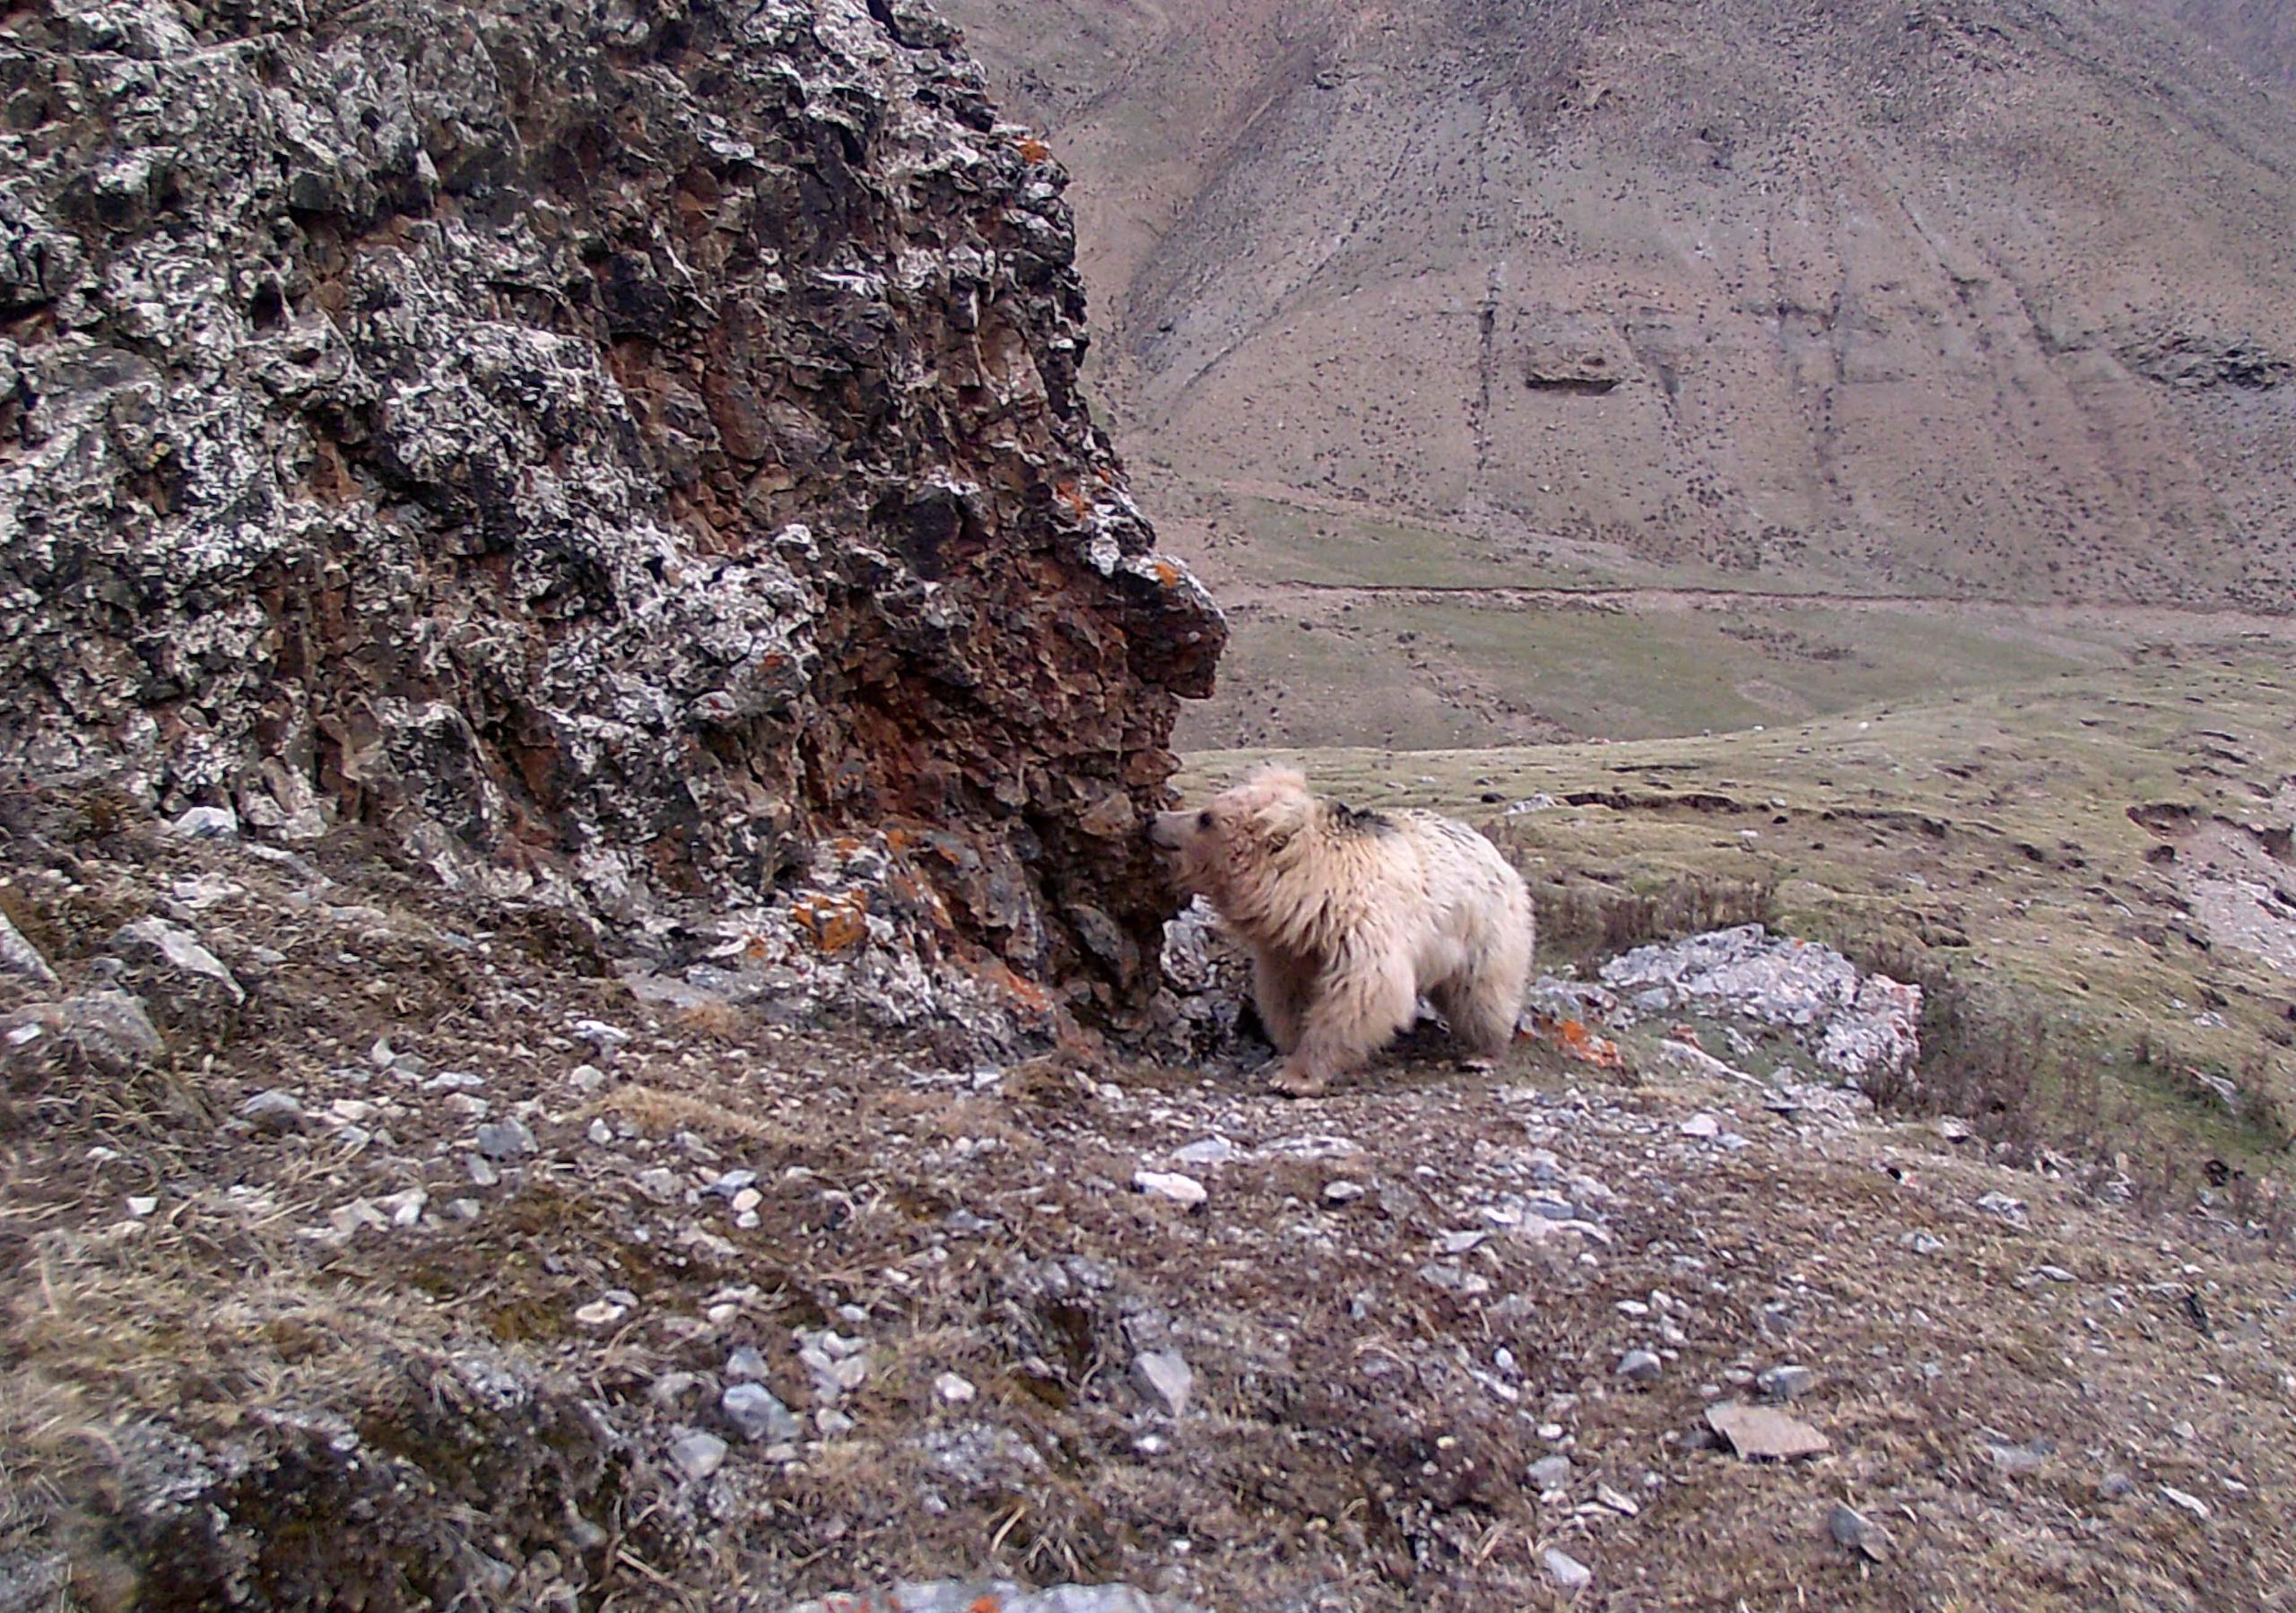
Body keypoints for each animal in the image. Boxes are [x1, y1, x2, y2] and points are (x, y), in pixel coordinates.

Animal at [1143, 766, 1534, 1097]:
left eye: (1205, 818)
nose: (1153, 819)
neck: (1315, 891)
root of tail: (1495, 853)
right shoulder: (1293, 946)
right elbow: (1288, 994)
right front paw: (1288, 1047)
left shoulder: (1362, 926)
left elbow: (1359, 994)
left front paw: (1296, 1077)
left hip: (1485, 926)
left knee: (1483, 991)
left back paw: (1483, 1052)